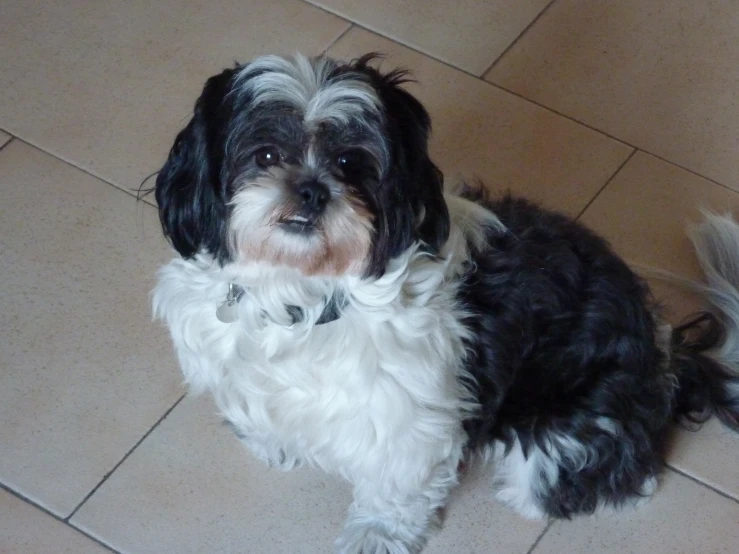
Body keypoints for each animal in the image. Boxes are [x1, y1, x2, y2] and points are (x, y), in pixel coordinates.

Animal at [150, 52, 739, 552]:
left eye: (351, 162)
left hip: (566, 437)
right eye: (266, 154)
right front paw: (275, 441)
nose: (312, 189)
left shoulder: (406, 424)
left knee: (604, 479)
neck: (307, 295)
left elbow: (392, 492)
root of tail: (667, 356)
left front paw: (374, 536)